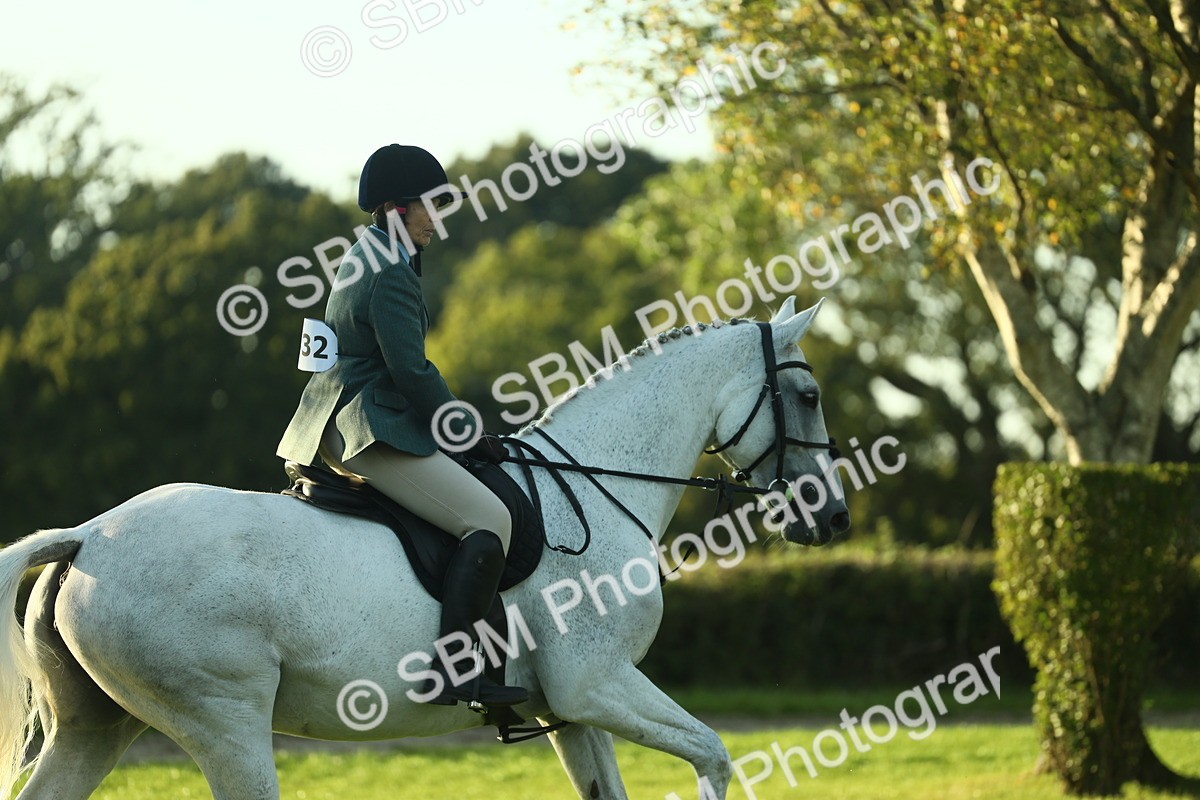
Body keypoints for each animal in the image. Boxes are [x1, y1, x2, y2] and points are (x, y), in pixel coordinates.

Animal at [0, 296, 850, 800]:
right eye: (808, 396)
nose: (833, 517)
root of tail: (88, 540)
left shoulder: (573, 711)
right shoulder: (598, 684)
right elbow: (713, 753)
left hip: (97, 727)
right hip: (224, 724)